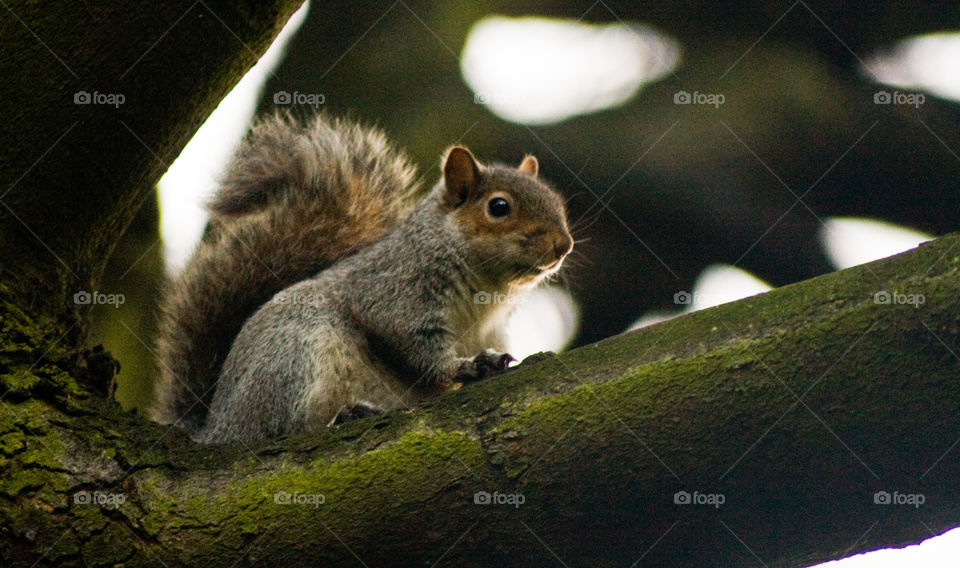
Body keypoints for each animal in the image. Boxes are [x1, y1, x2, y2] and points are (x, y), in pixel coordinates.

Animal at [151, 111, 573, 444]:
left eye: (556, 201)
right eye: (499, 207)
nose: (563, 245)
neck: (489, 289)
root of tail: (217, 430)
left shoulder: (491, 328)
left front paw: (495, 362)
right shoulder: (396, 290)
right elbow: (414, 345)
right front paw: (462, 367)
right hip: (294, 358)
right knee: (282, 428)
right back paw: (341, 417)